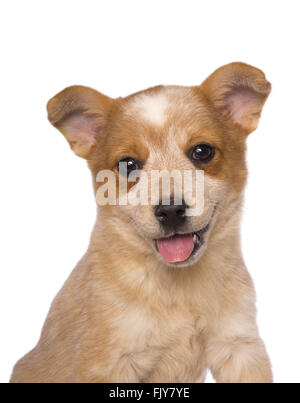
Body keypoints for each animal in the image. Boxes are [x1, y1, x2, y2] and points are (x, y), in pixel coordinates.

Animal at [10, 62, 274, 382]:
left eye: (202, 151)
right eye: (128, 164)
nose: (170, 210)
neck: (179, 287)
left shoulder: (239, 346)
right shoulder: (109, 363)